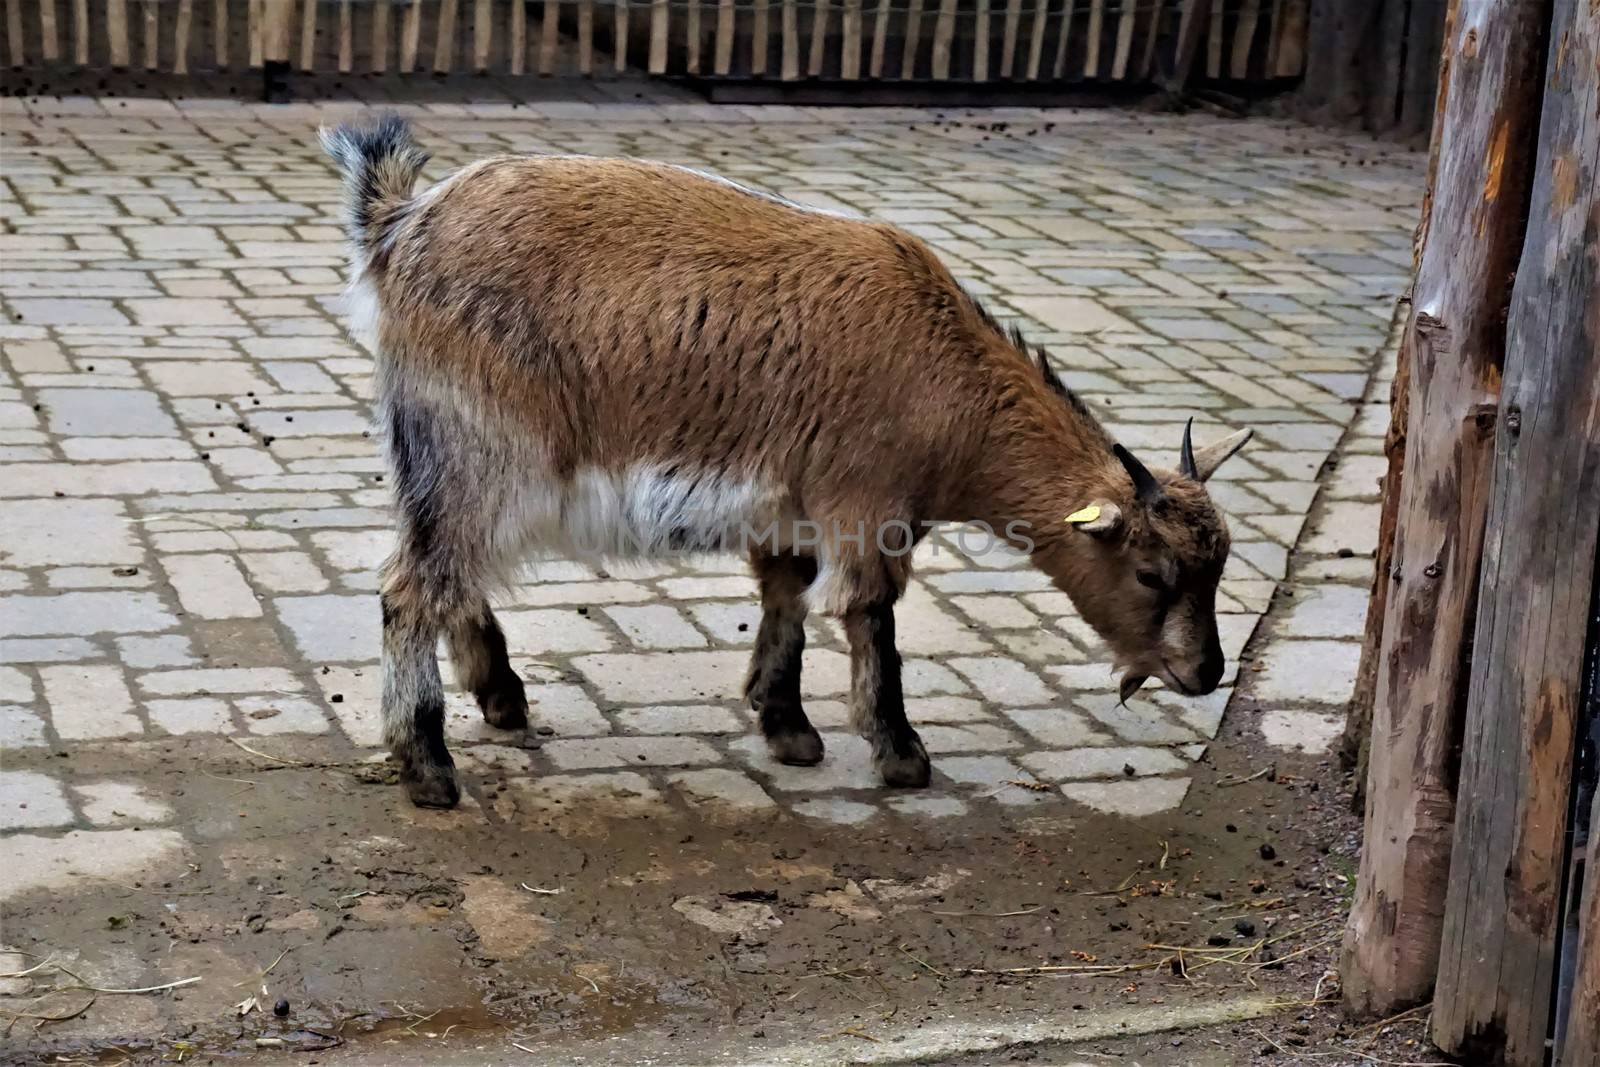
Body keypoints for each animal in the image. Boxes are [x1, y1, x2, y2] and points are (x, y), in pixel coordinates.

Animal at [321, 116, 1248, 809]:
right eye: (1153, 573)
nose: (1207, 672)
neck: (948, 379)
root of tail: (399, 223)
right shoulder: (868, 502)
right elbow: (870, 616)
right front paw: (901, 753)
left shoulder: (792, 503)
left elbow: (786, 598)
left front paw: (788, 725)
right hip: (483, 450)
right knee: (413, 585)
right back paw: (429, 764)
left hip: (445, 460)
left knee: (445, 572)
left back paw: (502, 699)